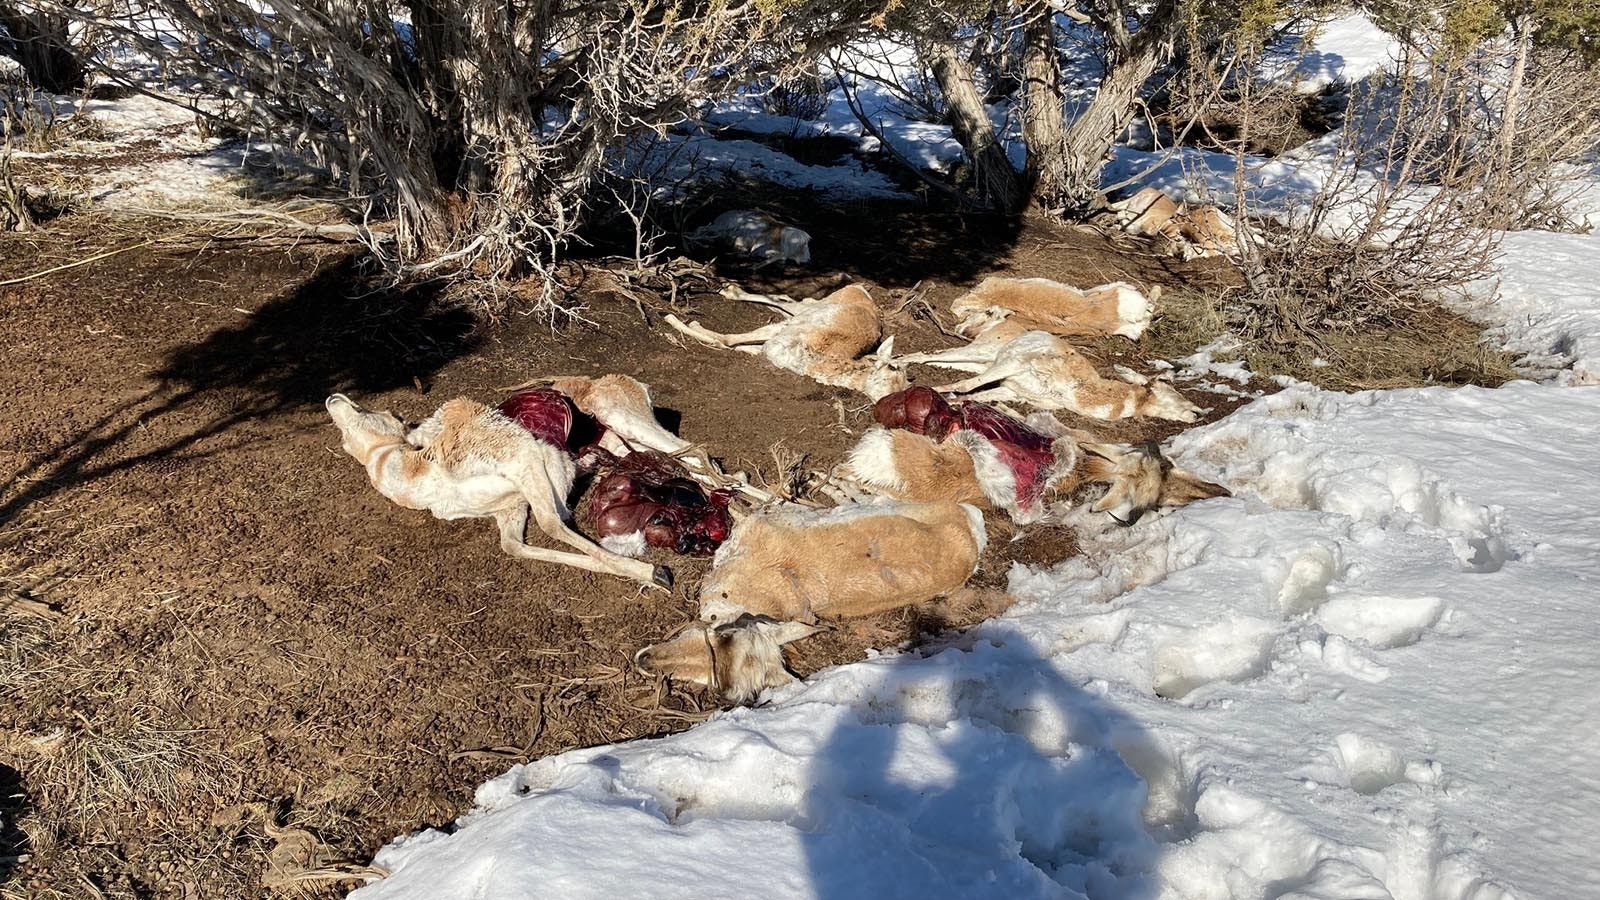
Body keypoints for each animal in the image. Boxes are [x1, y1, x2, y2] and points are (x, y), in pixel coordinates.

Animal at [326, 394, 672, 588]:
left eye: (367, 411)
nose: (332, 399)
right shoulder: (514, 498)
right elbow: (520, 542)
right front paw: (648, 572)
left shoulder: (523, 466)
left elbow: (543, 529)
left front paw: (649, 572)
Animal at [664, 283, 908, 400]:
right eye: (892, 370)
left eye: (907, 386)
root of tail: (860, 290)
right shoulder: (783, 332)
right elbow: (728, 339)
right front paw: (678, 320)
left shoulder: (772, 347)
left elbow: (739, 345)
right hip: (806, 310)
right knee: (791, 303)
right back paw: (729, 291)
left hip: (801, 311)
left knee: (788, 302)